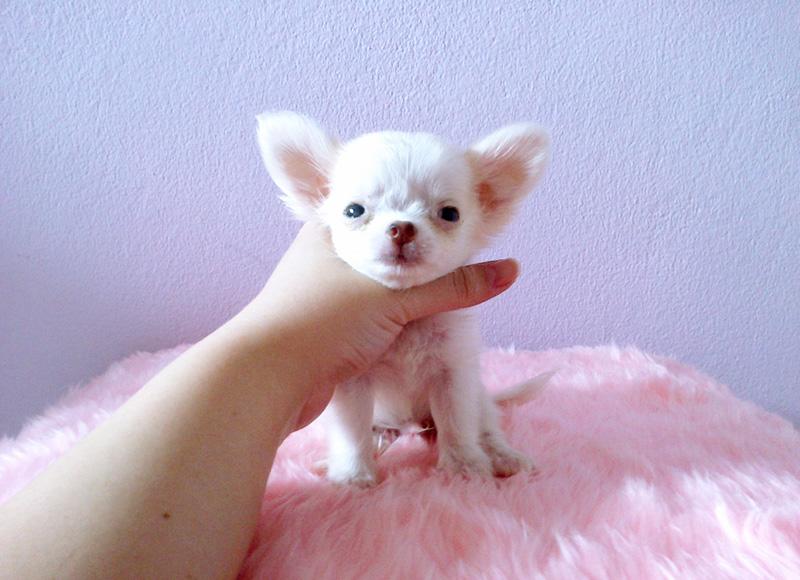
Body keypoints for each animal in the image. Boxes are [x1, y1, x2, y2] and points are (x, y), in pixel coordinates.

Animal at [257, 112, 550, 486]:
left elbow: (457, 424)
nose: (401, 228)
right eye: (353, 211)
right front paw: (353, 476)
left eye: (450, 214)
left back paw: (502, 456)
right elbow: (352, 431)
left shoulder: (453, 376)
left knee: (485, 426)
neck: (407, 321)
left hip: (479, 396)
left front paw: (465, 468)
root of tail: (409, 424)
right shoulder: (353, 384)